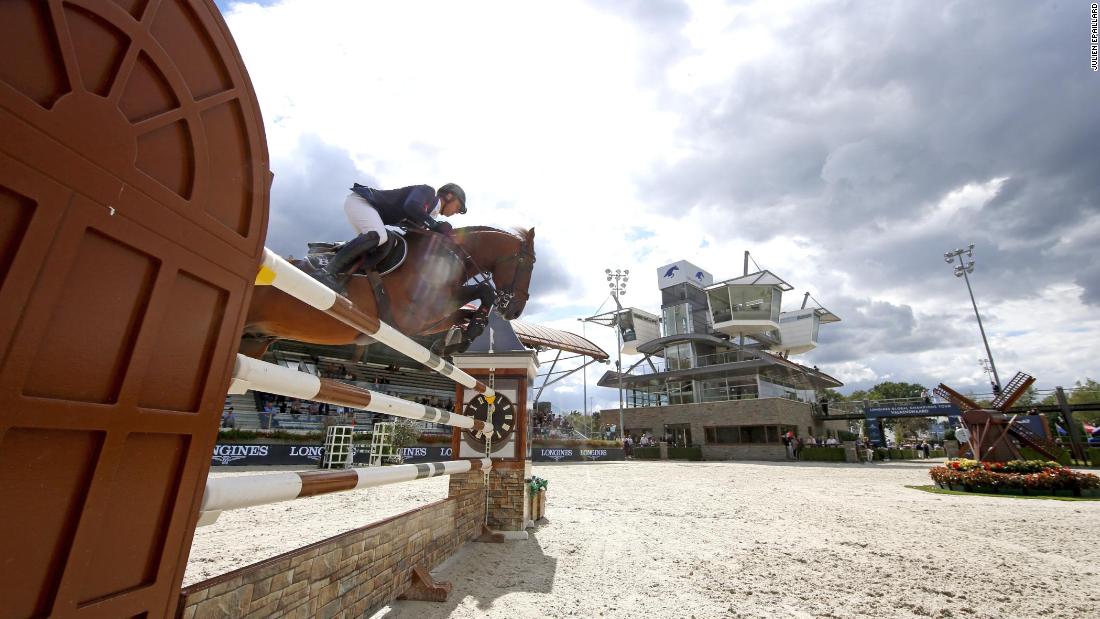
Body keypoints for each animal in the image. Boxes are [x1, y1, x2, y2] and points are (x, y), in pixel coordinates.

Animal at [240, 226, 536, 358]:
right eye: (528, 264)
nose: (515, 310)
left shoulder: (431, 322)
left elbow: (464, 313)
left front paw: (455, 340)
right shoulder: (420, 314)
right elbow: (484, 290)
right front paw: (465, 335)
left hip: (255, 340)